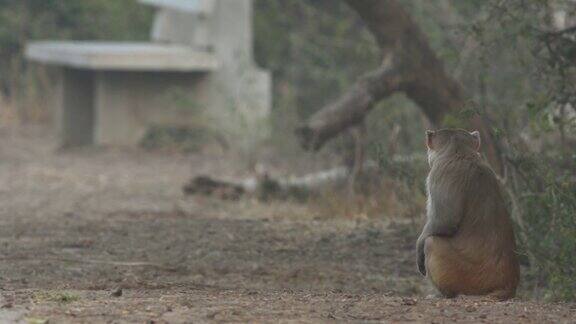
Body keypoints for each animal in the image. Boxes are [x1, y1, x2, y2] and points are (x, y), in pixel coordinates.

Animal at [416, 128, 520, 300]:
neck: (459, 151)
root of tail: (508, 286)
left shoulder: (438, 174)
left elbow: (446, 221)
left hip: (467, 277)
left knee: (431, 243)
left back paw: (446, 294)